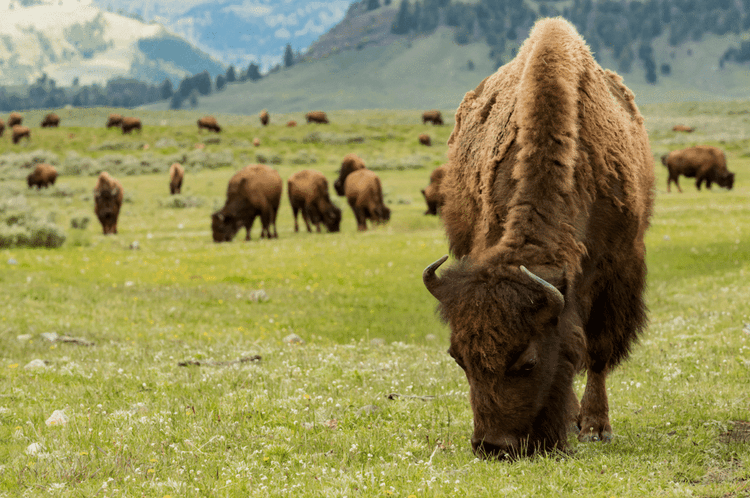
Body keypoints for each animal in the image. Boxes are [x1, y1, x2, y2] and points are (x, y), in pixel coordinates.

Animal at [423, 18, 655, 458]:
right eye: (459, 359)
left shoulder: (616, 271)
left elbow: (596, 350)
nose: (493, 446)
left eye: (527, 362)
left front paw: (595, 428)